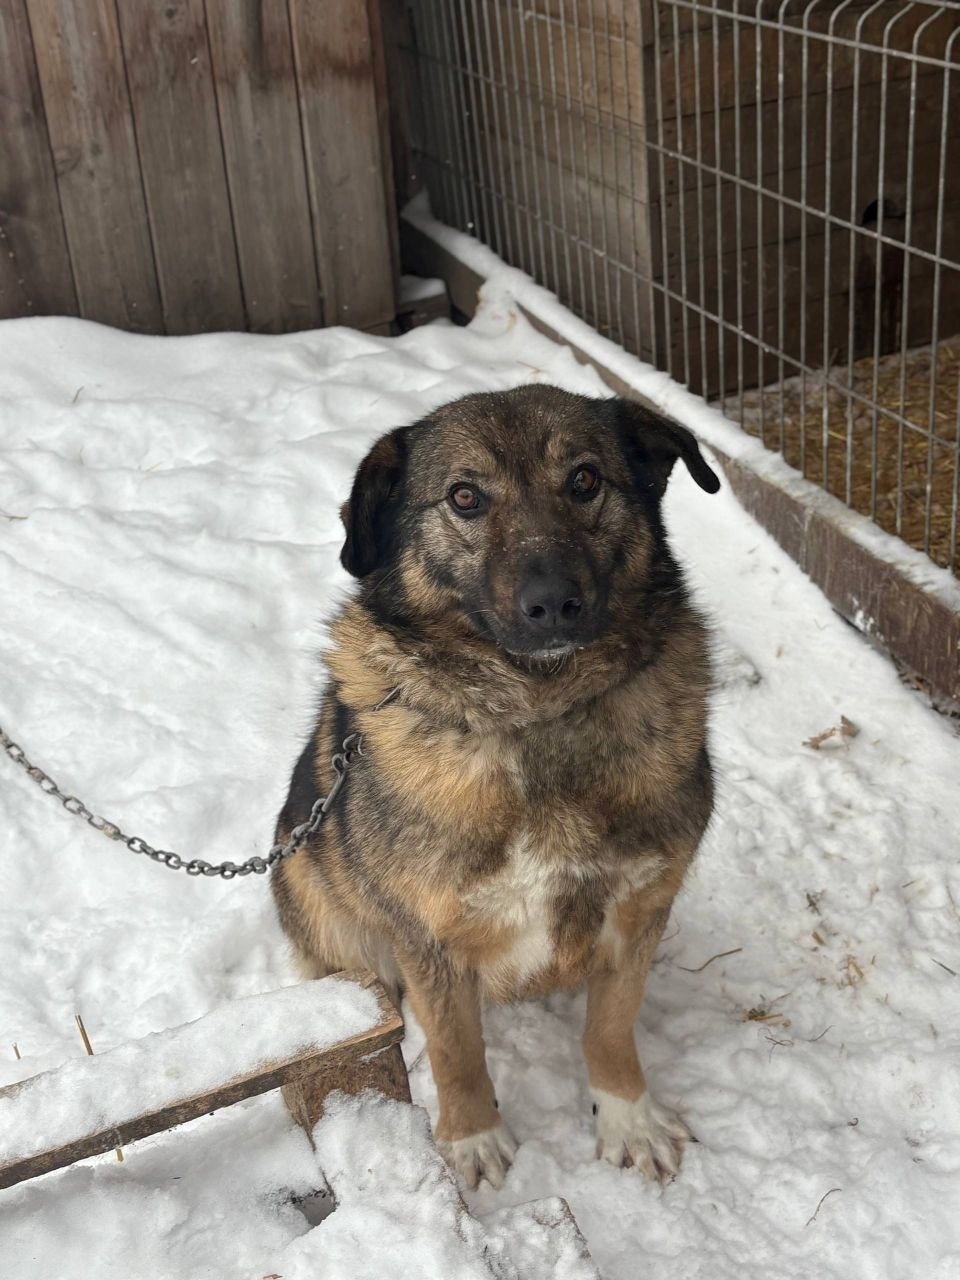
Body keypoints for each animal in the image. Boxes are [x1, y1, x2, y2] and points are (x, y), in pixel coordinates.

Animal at [272, 385, 719, 1189]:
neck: (536, 714)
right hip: (313, 891)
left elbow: (611, 1028)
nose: (554, 603)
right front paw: (472, 1138)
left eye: (584, 480)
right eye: (465, 497)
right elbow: (457, 1050)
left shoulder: (638, 910)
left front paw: (627, 1116)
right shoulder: (430, 942)